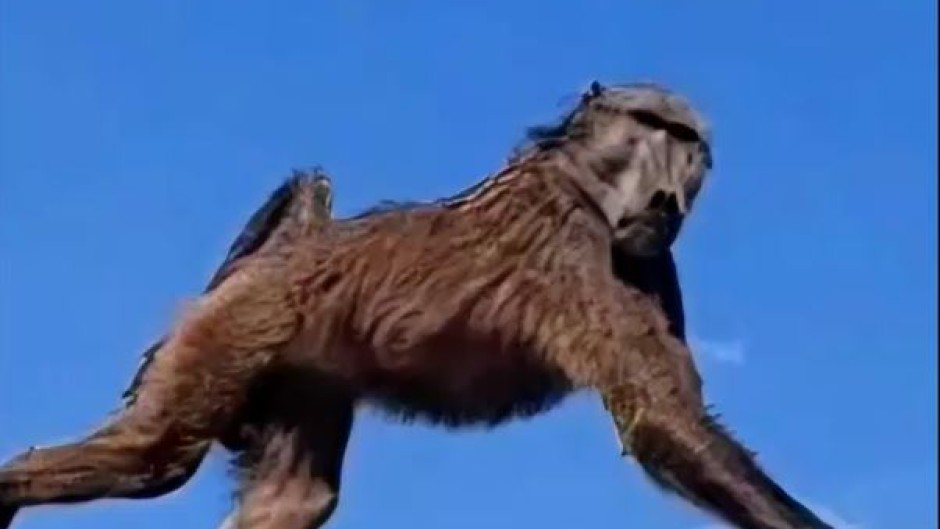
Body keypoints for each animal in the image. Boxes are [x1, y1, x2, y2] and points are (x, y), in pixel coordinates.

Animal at [0, 81, 834, 529]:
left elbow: (667, 419)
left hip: (305, 367)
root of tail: (292, 248)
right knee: (152, 457)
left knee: (294, 500)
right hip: (236, 326)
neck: (577, 178)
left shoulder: (649, 257)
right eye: (651, 127)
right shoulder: (573, 245)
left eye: (687, 141)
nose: (667, 196)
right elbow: (659, 423)